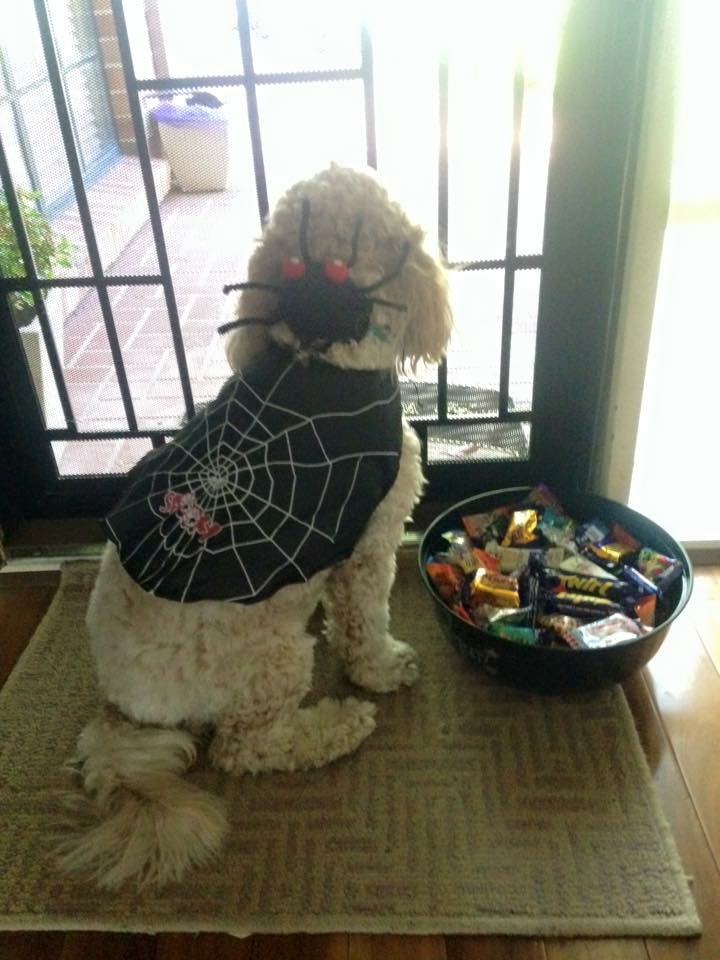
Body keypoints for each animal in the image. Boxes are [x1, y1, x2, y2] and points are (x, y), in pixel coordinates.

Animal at [56, 165, 450, 892]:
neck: (322, 352)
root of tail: (123, 712)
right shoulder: (370, 543)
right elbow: (364, 620)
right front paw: (381, 668)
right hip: (270, 655)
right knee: (246, 747)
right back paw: (339, 723)